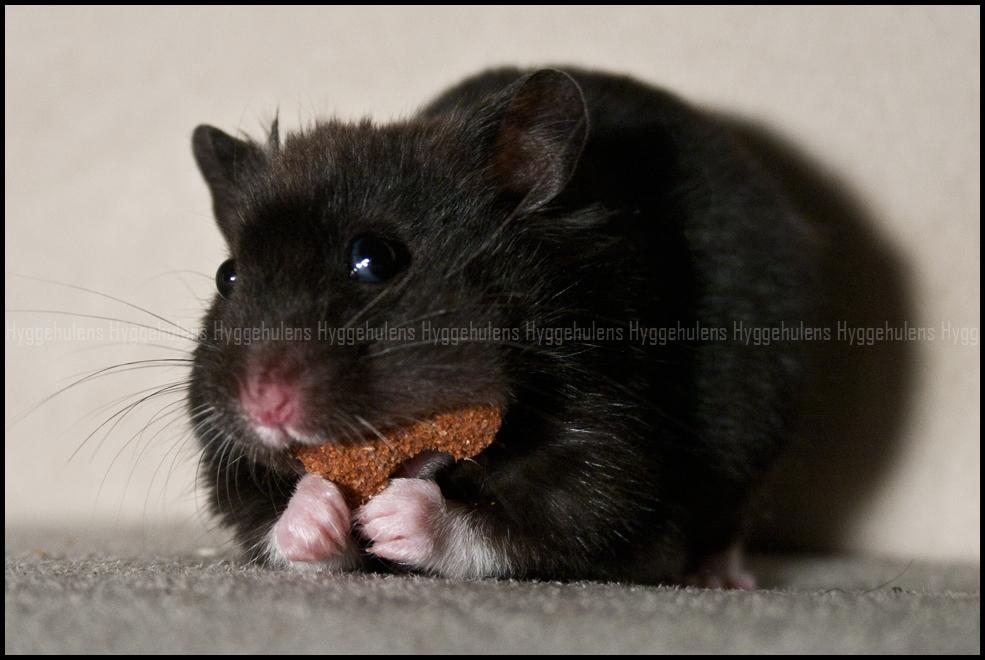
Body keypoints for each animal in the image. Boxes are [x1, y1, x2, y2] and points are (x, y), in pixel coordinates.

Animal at [188, 67, 814, 586]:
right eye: (228, 276)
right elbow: (270, 521)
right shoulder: (228, 462)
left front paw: (393, 515)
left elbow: (543, 522)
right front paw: (320, 504)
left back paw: (724, 579)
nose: (264, 406)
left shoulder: (615, 452)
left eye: (376, 258)